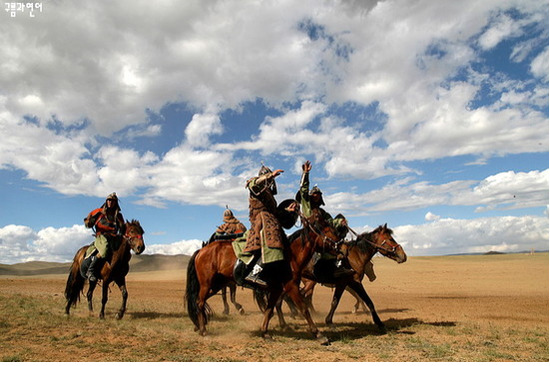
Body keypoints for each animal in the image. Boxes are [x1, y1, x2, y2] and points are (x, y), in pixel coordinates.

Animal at [185, 214, 342, 344]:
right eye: (331, 232)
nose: (342, 250)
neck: (290, 258)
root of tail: (201, 250)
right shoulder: (291, 287)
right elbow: (303, 308)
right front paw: (319, 334)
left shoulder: (276, 289)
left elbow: (269, 310)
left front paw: (265, 333)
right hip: (207, 284)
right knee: (199, 302)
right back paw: (203, 331)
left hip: (216, 284)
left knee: (199, 301)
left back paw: (198, 325)